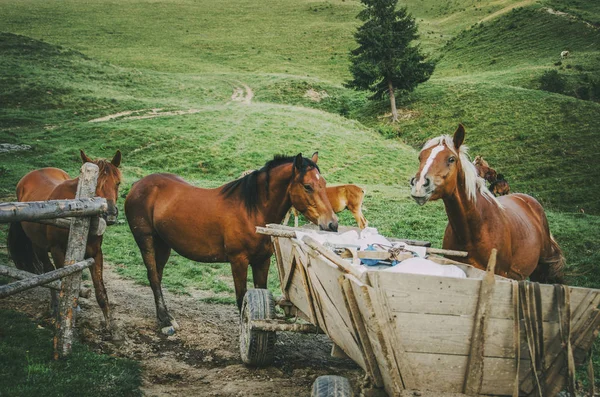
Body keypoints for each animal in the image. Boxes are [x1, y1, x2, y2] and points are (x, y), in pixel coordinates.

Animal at [7, 150, 122, 326]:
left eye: (118, 183)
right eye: (96, 185)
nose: (110, 213)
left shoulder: (96, 253)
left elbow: (101, 292)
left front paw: (110, 326)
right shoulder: (58, 252)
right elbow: (63, 281)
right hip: (39, 247)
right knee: (50, 274)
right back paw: (55, 306)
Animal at [125, 153, 338, 332]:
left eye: (323, 183)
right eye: (308, 186)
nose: (332, 223)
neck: (252, 211)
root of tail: (138, 184)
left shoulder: (262, 261)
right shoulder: (238, 261)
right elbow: (241, 298)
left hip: (163, 244)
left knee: (157, 276)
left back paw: (162, 317)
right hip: (146, 240)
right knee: (153, 276)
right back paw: (165, 320)